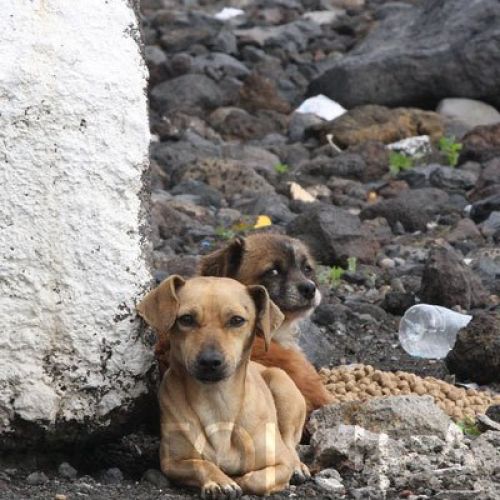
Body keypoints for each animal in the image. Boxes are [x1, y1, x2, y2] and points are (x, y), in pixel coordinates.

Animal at [137, 276, 308, 498]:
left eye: (237, 320)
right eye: (186, 319)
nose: (210, 361)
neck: (217, 402)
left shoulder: (280, 463)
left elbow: (257, 479)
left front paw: (239, 479)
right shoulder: (172, 463)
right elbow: (201, 464)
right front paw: (220, 480)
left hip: (282, 385)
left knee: (290, 444)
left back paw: (298, 467)